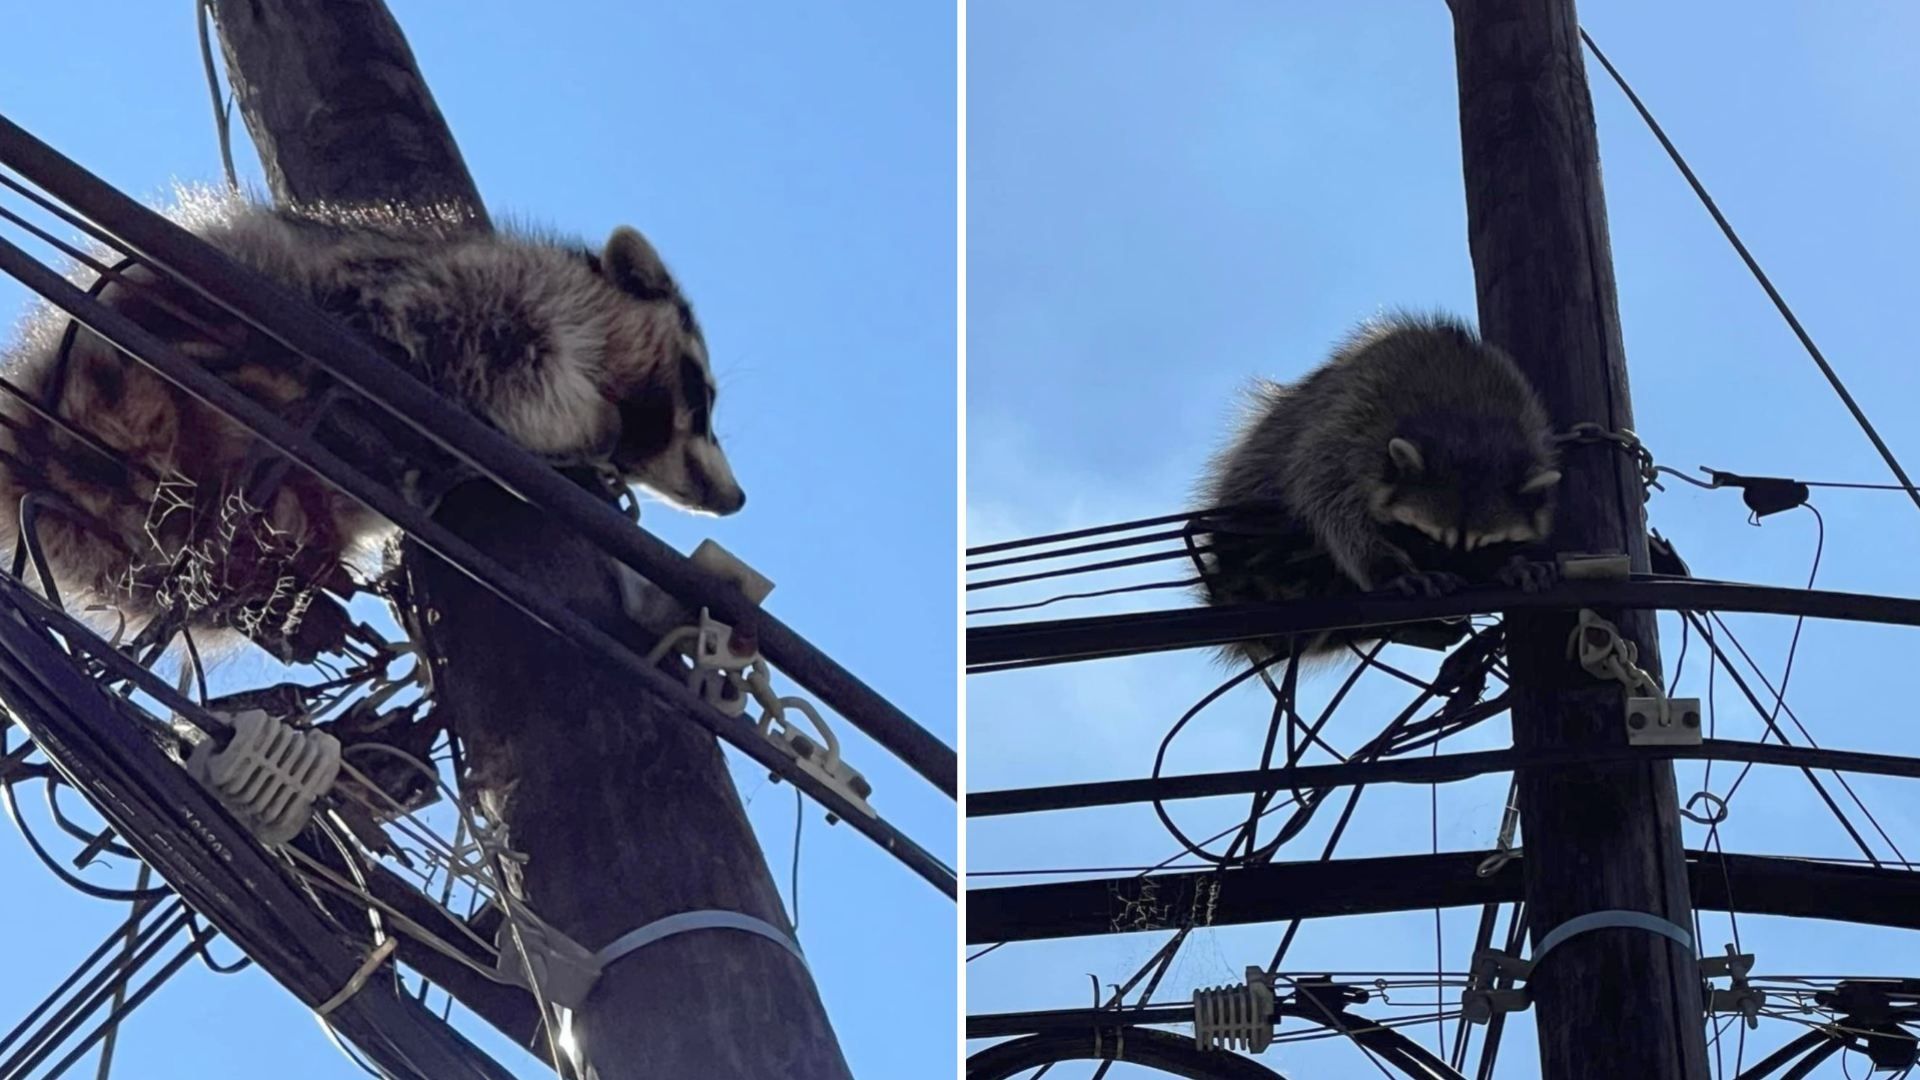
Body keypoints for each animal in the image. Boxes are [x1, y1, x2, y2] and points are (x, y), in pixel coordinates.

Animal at [0, 191, 741, 657]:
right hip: (161, 357)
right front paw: (581, 440)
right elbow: (499, 362)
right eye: (701, 397)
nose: (733, 499)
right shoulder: (473, 297)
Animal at [1198, 311, 1559, 664]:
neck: (1470, 427)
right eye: (1426, 539)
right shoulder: (1349, 423)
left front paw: (1513, 563)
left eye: (1487, 547)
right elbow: (1329, 503)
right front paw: (1385, 566)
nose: (1456, 611)